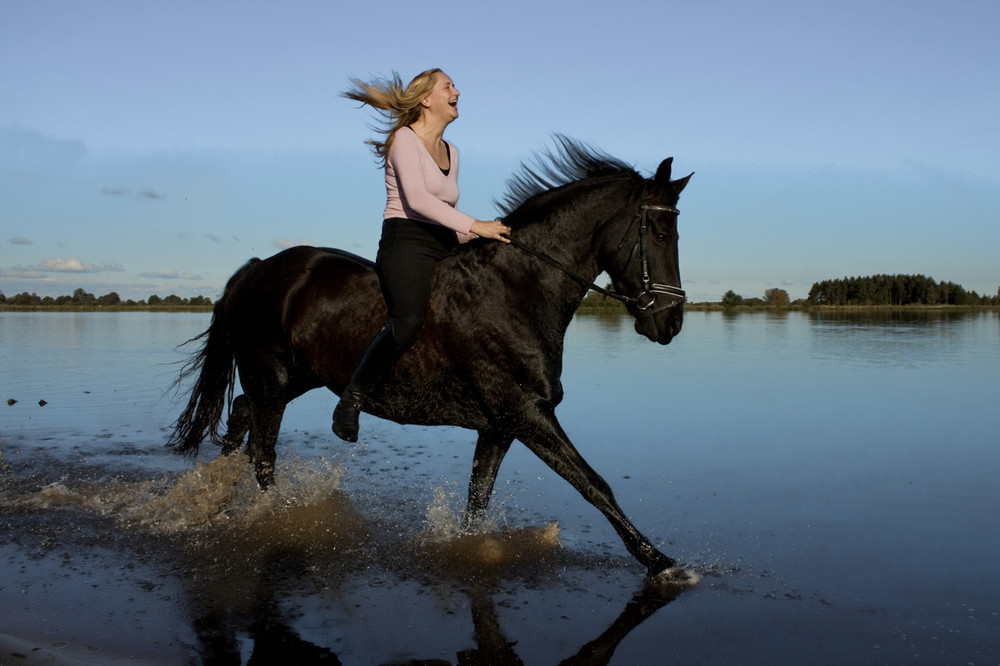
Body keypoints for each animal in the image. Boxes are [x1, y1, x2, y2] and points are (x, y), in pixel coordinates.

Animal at [168, 137, 692, 580]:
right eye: (659, 233)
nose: (669, 323)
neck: (518, 286)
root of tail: (260, 269)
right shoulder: (528, 414)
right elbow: (594, 484)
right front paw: (661, 562)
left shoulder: (500, 426)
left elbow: (478, 499)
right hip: (272, 379)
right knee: (262, 454)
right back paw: (275, 517)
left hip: (297, 378)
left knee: (241, 417)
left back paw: (217, 498)